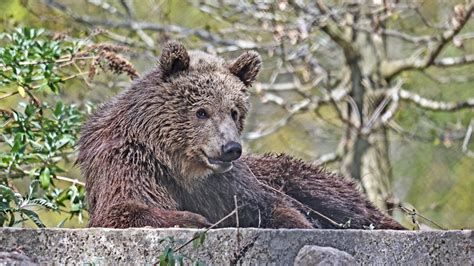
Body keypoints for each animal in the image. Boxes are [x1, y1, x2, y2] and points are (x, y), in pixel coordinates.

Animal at [78, 40, 404, 230]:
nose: (231, 148)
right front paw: (193, 219)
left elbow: (272, 206)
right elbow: (126, 208)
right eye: (202, 111)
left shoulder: (229, 184)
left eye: (234, 111)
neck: (181, 164)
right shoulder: (130, 162)